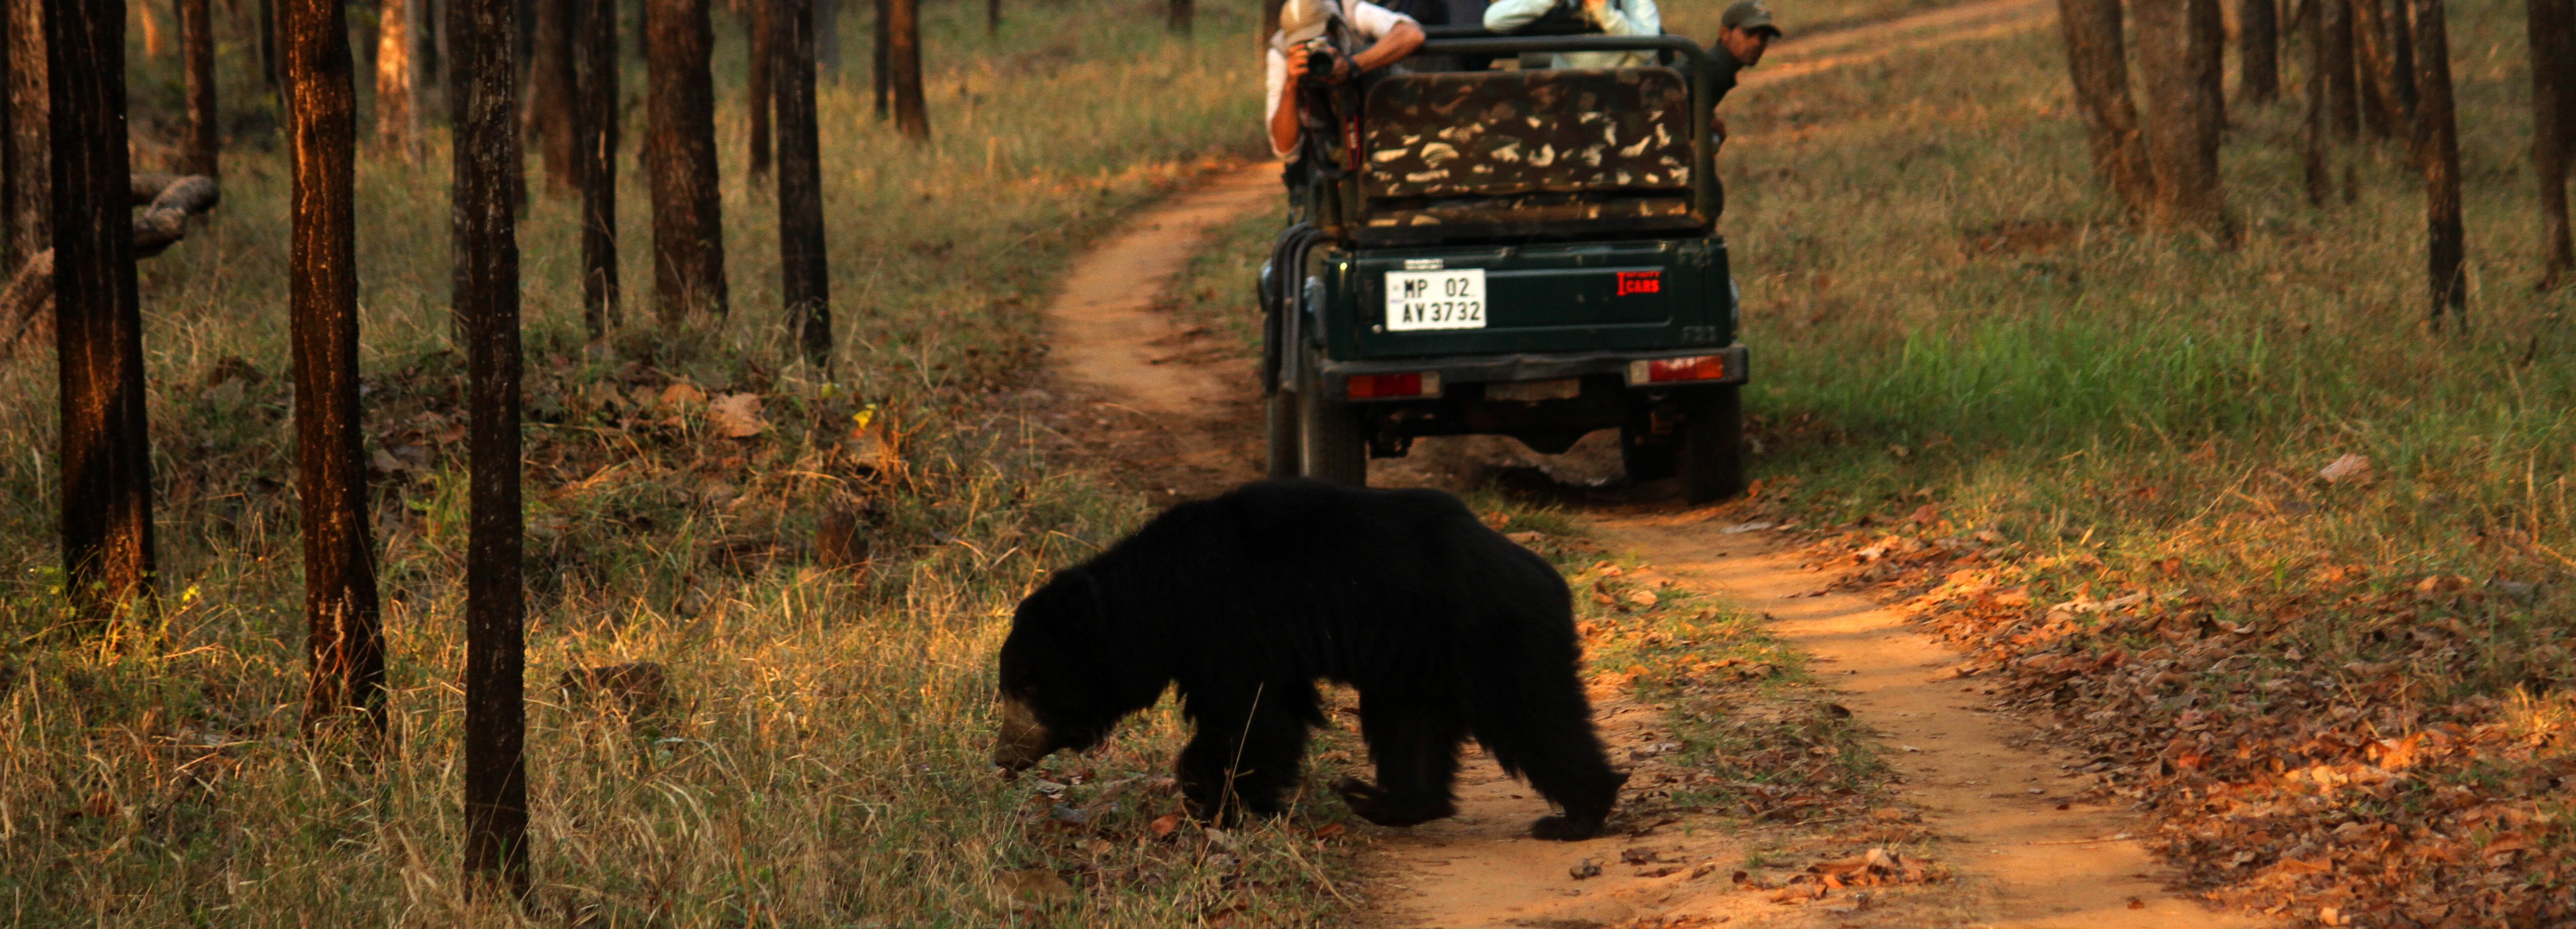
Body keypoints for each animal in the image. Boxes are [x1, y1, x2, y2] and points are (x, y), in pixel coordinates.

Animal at [994, 478, 1617, 839]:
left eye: (1025, 689)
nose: (1003, 756)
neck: (1157, 599)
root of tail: (1547, 578)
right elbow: (1276, 714)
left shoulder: (1230, 627)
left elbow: (1247, 719)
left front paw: (1216, 798)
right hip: (1415, 659)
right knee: (1411, 728)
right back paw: (1383, 801)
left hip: (1487, 635)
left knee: (1534, 717)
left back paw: (1575, 816)